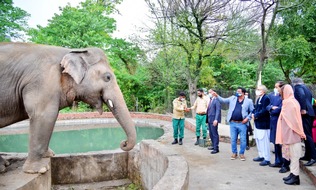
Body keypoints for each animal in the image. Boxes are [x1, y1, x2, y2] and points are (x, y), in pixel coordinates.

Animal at [0, 42, 136, 174]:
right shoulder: (42, 81)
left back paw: (4, 166)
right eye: (108, 77)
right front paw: (39, 170)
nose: (123, 143)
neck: (72, 51)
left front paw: (49, 155)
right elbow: (45, 115)